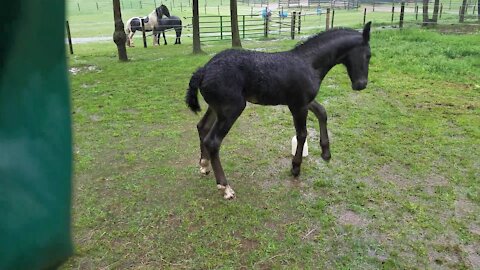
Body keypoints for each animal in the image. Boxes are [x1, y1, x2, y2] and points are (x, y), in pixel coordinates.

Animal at [186, 22, 374, 198]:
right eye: (369, 55)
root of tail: (203, 70)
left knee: (202, 126)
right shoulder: (298, 105)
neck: (310, 63)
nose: (361, 84)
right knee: (213, 141)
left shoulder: (303, 101)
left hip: (216, 107)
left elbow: (322, 112)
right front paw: (296, 168)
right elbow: (302, 134)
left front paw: (326, 152)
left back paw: (204, 165)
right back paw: (225, 187)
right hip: (231, 108)